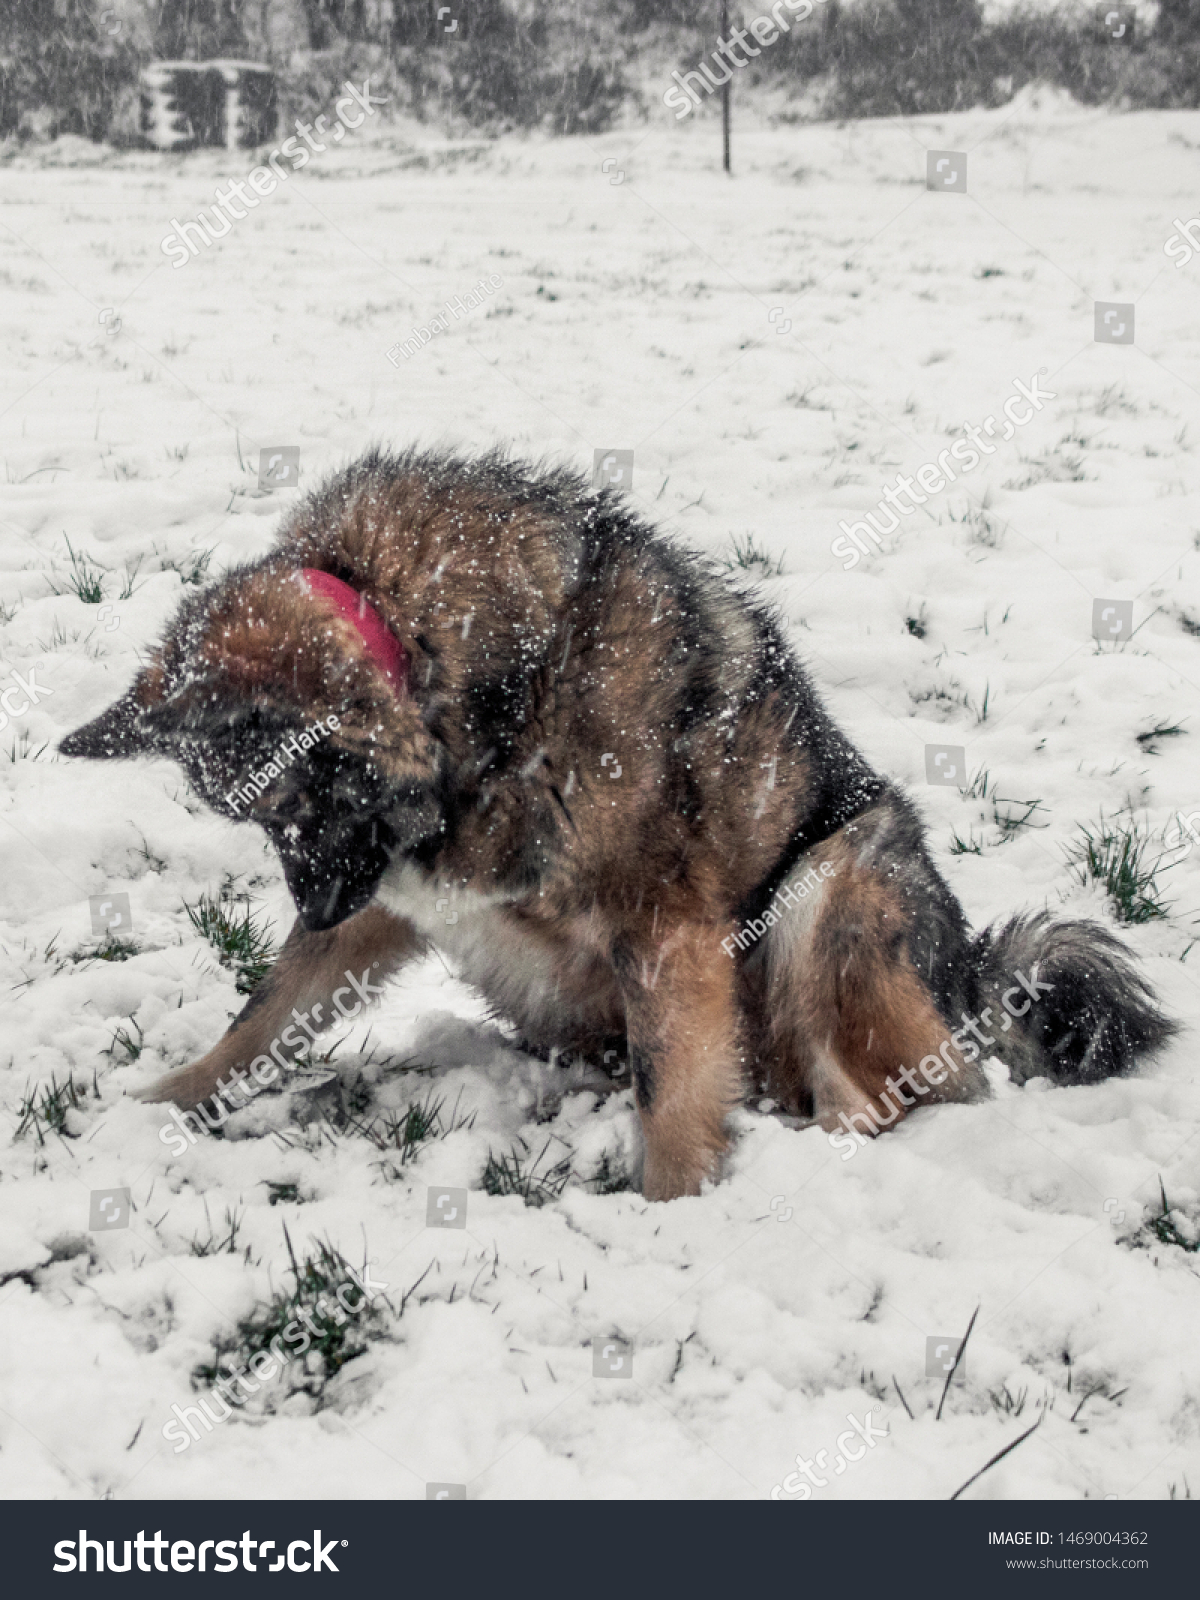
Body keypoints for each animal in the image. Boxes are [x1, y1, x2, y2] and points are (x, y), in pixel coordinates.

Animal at [61, 451, 1177, 1203]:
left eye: (293, 809)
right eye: (260, 821)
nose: (320, 905)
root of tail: (968, 976)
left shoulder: (665, 927)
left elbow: (671, 1096)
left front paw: (675, 1216)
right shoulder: (394, 902)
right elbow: (261, 1016)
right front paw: (162, 1103)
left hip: (830, 884)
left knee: (904, 1096)